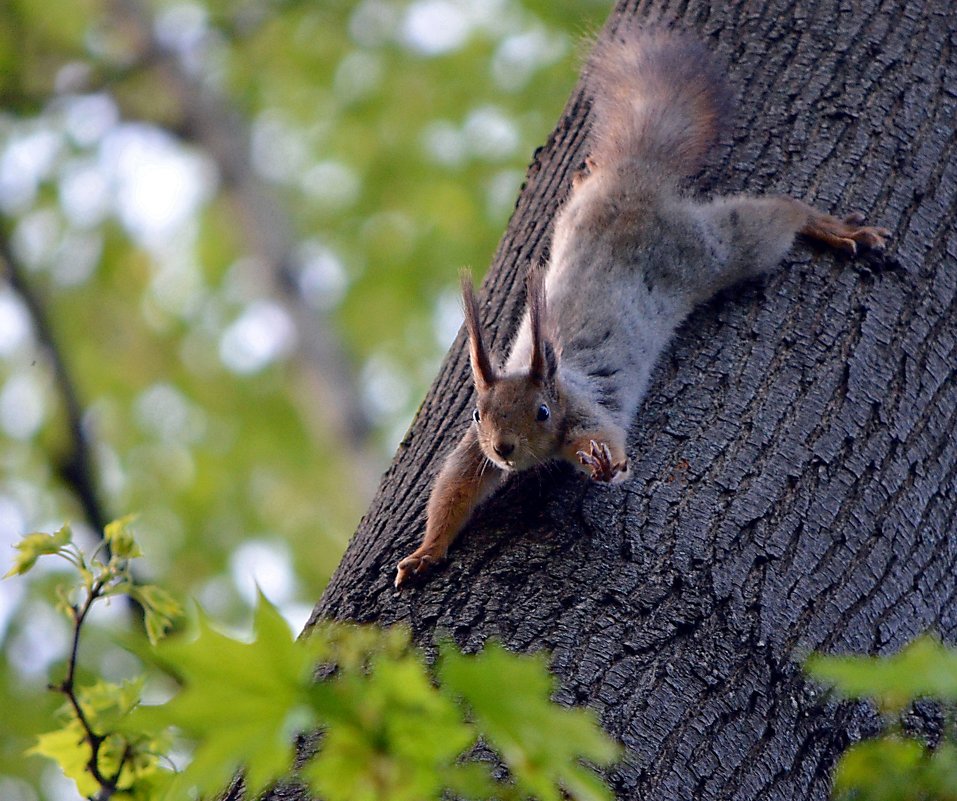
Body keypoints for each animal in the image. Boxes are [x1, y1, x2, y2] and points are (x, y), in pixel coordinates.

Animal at [392, 25, 884, 588]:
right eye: (477, 413)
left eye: (542, 412)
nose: (504, 450)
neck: (552, 379)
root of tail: (638, 175)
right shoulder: (473, 449)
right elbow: (451, 492)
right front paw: (426, 552)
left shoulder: (586, 411)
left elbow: (605, 441)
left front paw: (603, 462)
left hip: (707, 249)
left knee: (774, 218)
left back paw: (829, 226)